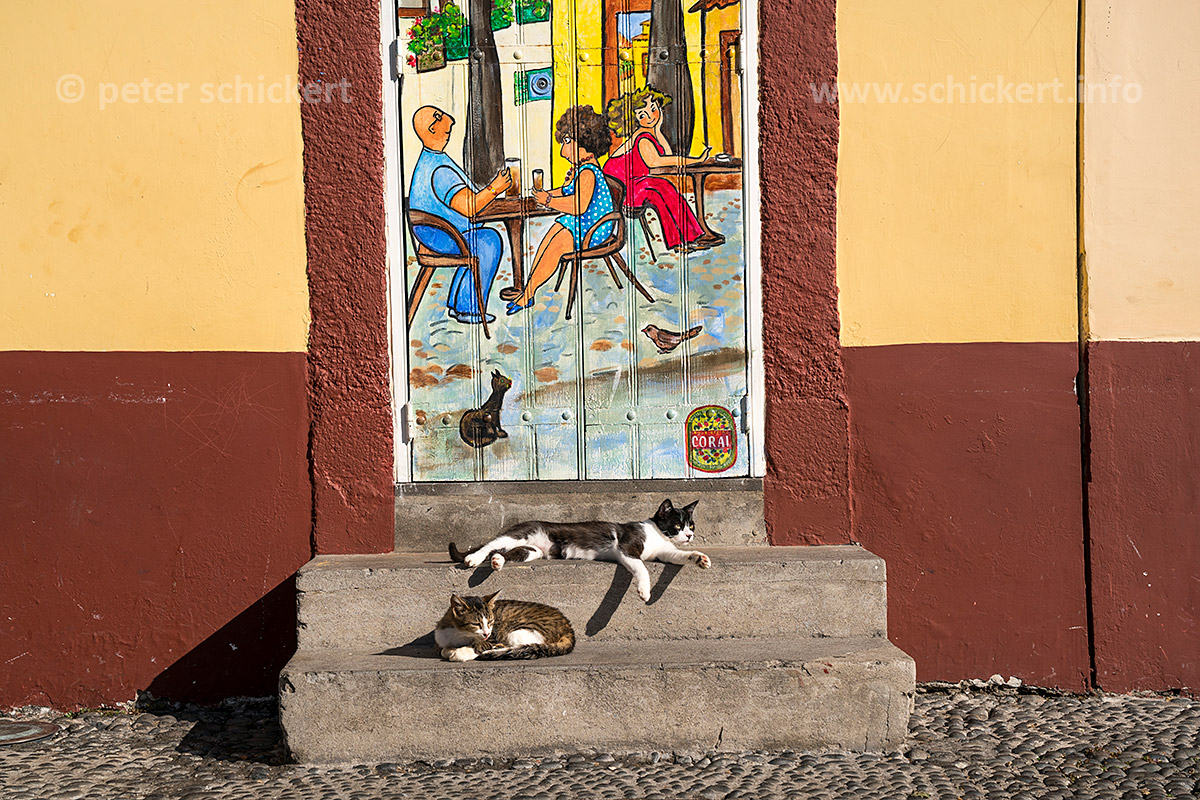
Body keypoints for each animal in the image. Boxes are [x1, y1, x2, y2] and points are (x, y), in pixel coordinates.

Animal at [434, 590, 576, 662]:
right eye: (476, 624)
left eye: (490, 621)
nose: (486, 633)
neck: (461, 635)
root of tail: (567, 625)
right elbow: (442, 650)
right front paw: (449, 650)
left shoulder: (491, 637)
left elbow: (478, 646)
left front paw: (461, 652)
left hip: (515, 629)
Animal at [448, 499, 709, 604]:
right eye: (677, 526)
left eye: (691, 525)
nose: (689, 535)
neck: (656, 533)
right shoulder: (626, 547)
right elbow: (641, 567)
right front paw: (644, 592)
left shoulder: (663, 551)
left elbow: (677, 556)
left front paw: (699, 558)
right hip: (520, 533)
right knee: (490, 545)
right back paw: (473, 559)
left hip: (532, 551)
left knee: (505, 552)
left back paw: (497, 562)